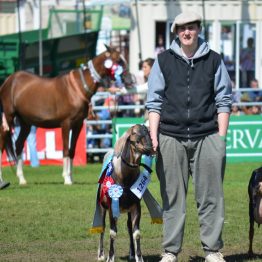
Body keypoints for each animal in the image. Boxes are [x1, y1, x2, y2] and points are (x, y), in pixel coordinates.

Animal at [0, 45, 132, 185]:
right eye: (119, 60)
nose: (130, 79)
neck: (77, 88)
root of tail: (8, 80)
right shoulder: (66, 124)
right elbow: (65, 150)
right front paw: (66, 178)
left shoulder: (78, 125)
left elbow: (72, 151)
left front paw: (71, 177)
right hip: (9, 117)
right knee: (3, 141)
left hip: (26, 123)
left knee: (19, 145)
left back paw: (22, 179)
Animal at [97, 124, 154, 262]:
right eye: (135, 134)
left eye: (148, 132)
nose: (150, 148)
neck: (125, 178)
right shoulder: (112, 207)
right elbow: (112, 233)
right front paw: (110, 257)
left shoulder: (136, 206)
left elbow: (136, 233)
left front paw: (139, 257)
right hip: (102, 206)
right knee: (102, 227)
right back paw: (101, 255)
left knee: (128, 227)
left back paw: (131, 254)